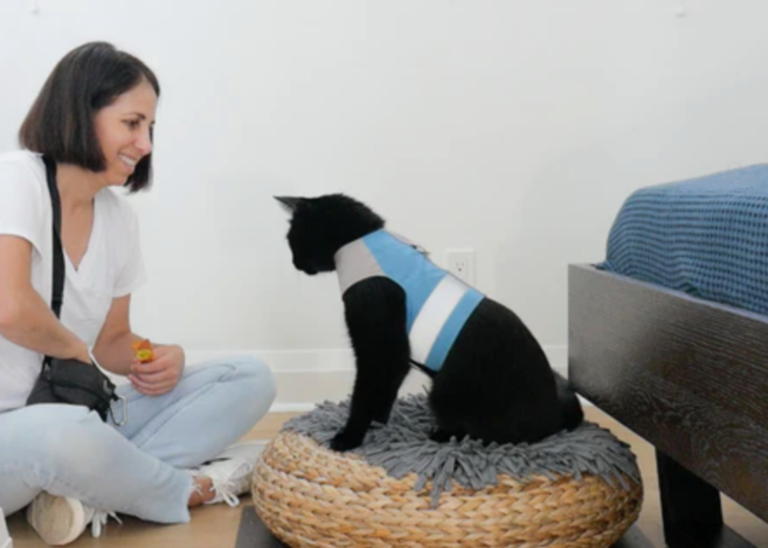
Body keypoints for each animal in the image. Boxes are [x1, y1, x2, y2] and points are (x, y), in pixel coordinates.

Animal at [280, 195, 584, 452]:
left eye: (291, 239)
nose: (293, 263)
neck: (361, 240)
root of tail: (556, 417)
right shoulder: (397, 358)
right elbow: (386, 392)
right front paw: (379, 422)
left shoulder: (379, 347)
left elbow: (363, 396)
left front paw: (348, 438)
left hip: (443, 392)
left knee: (487, 436)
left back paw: (441, 434)